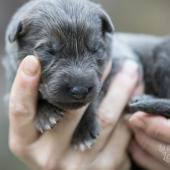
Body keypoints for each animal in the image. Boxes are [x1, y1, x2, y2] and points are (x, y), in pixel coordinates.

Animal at [4, 0, 115, 149]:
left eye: (96, 50)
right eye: (48, 51)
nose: (80, 90)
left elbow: (92, 100)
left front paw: (84, 129)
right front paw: (46, 114)